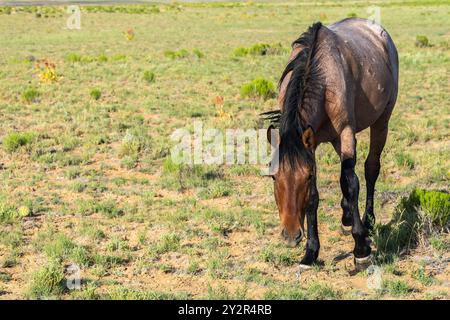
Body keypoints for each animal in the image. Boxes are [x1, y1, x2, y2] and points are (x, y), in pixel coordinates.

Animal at [262, 18, 400, 268]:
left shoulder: (345, 133)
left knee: (370, 169)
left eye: (306, 177)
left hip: (381, 121)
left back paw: (368, 221)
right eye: (274, 176)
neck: (323, 77)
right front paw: (311, 251)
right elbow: (314, 197)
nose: (291, 235)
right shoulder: (312, 143)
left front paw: (361, 249)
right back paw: (347, 216)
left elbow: (350, 183)